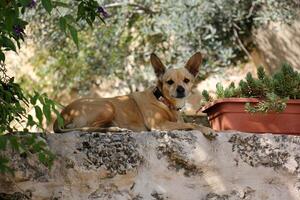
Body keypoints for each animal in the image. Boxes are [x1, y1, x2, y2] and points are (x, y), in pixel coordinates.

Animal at [53, 52, 213, 134]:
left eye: (186, 80)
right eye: (169, 82)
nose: (180, 89)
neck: (163, 101)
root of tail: (63, 113)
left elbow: (189, 123)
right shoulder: (159, 125)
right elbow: (192, 124)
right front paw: (205, 129)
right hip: (107, 106)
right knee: (87, 128)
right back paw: (114, 129)